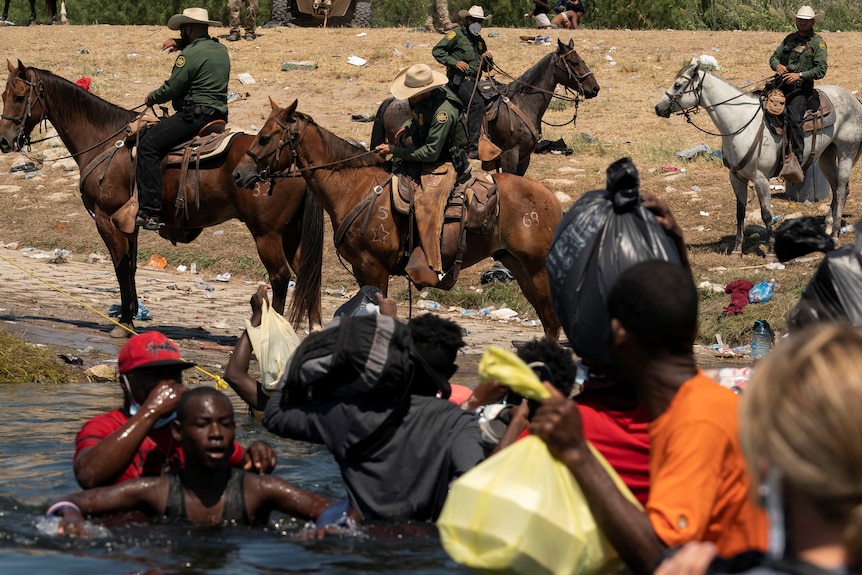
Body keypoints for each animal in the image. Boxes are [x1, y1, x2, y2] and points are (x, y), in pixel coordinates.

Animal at [0, 60, 324, 336]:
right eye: (4, 94)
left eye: (19, 96)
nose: (4, 140)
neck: (105, 140)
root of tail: (293, 160)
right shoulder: (129, 223)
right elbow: (130, 267)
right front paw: (129, 315)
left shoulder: (106, 219)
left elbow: (120, 267)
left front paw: (124, 323)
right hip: (291, 235)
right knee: (307, 275)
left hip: (267, 235)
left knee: (280, 277)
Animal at [233, 99, 564, 340]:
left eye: (265, 138)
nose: (238, 174)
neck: (355, 189)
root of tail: (551, 200)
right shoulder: (361, 270)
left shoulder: (374, 269)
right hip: (517, 265)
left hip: (537, 269)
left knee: (551, 322)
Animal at [372, 39, 600, 177]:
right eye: (574, 62)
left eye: (581, 59)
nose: (595, 88)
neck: (523, 104)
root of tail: (392, 100)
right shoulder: (510, 154)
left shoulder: (525, 157)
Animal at [656, 61, 862, 258]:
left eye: (677, 84)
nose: (658, 108)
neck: (740, 123)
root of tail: (855, 101)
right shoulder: (736, 177)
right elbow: (740, 213)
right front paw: (737, 250)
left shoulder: (761, 178)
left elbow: (766, 214)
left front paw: (770, 252)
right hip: (826, 156)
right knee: (838, 189)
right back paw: (828, 226)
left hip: (846, 152)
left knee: (841, 190)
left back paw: (835, 234)